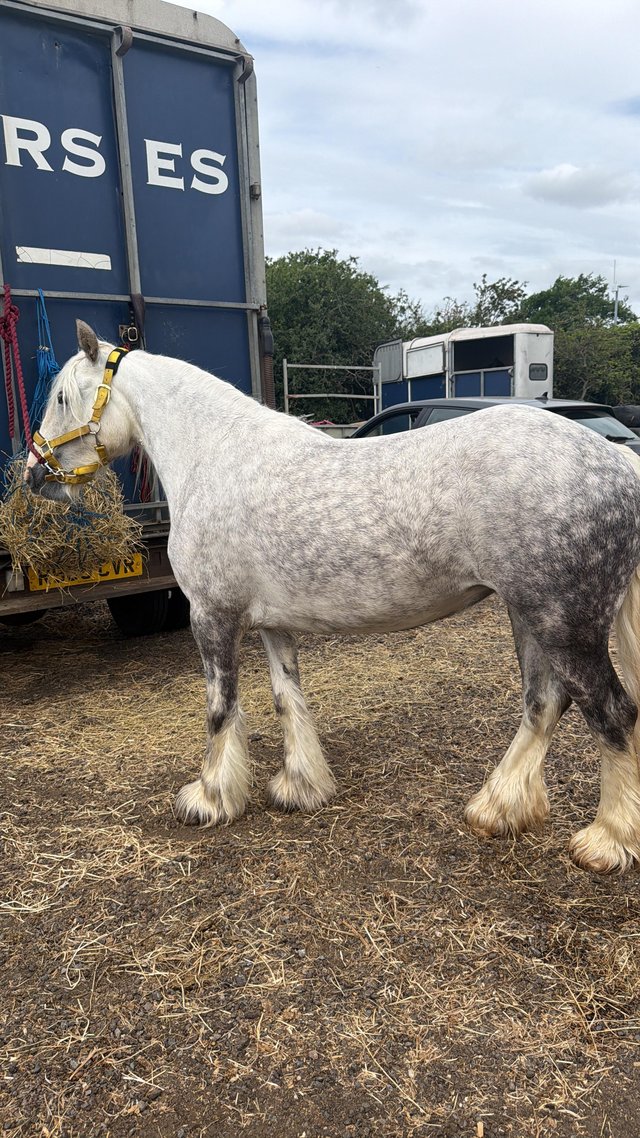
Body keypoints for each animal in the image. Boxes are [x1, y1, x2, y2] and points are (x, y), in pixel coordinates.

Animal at [24, 320, 640, 874]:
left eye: (61, 396)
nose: (34, 473)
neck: (215, 455)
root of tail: (616, 460)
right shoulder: (272, 623)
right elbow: (285, 698)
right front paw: (301, 787)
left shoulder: (211, 616)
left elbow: (220, 708)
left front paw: (210, 798)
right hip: (529, 614)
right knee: (544, 703)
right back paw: (497, 808)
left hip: (563, 622)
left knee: (612, 712)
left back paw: (608, 841)